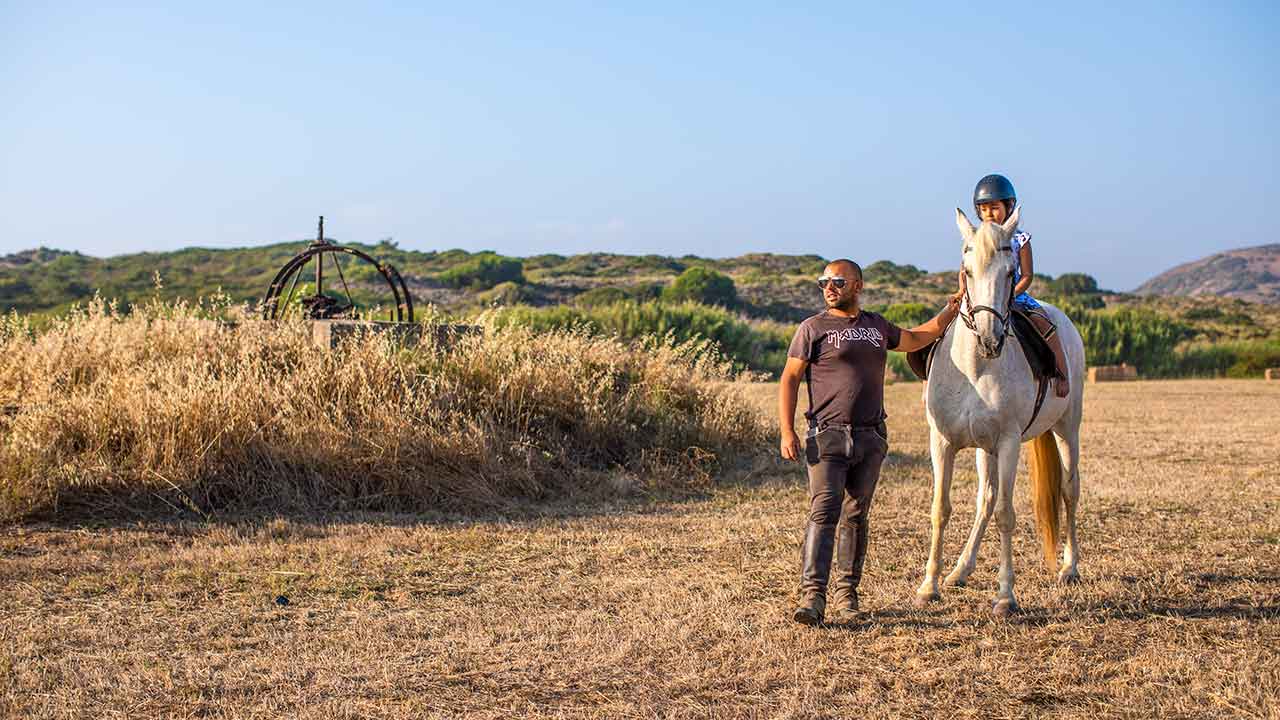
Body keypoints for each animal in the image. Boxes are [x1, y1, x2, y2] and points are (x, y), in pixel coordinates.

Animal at [913, 206, 1086, 617]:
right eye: (967, 269)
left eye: (1010, 272)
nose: (991, 340)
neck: (976, 368)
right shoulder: (942, 443)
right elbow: (941, 509)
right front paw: (929, 586)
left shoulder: (1008, 443)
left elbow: (1008, 514)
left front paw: (1006, 596)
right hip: (983, 448)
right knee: (986, 500)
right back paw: (960, 571)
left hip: (1067, 429)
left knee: (1069, 490)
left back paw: (1070, 568)